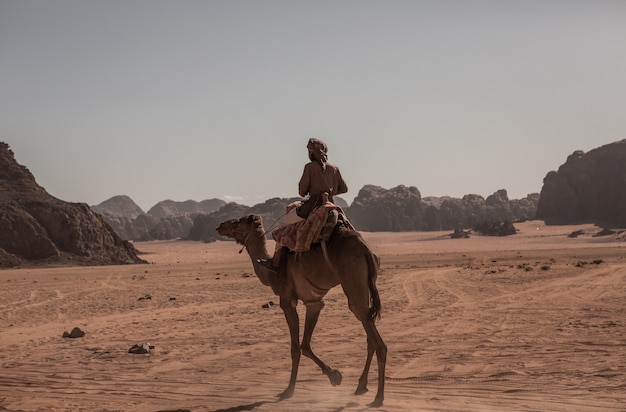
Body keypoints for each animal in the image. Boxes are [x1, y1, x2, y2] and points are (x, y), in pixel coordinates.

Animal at [214, 214, 386, 408]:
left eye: (239, 221)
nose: (220, 225)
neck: (271, 272)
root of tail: (366, 251)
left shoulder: (287, 301)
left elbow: (296, 348)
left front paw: (288, 390)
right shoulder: (314, 302)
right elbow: (305, 345)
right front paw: (334, 376)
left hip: (353, 283)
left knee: (379, 343)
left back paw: (378, 397)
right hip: (363, 290)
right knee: (369, 334)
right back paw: (361, 386)